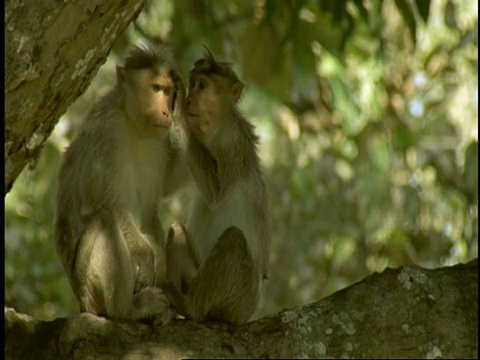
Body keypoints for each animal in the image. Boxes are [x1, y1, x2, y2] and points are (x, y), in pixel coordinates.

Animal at [52, 43, 188, 324]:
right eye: (155, 88)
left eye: (168, 91)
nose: (166, 111)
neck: (133, 123)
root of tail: (80, 302)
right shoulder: (109, 133)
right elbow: (111, 202)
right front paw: (147, 259)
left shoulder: (158, 140)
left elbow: (164, 188)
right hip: (88, 291)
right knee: (105, 220)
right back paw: (130, 309)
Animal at [165, 46, 270, 324]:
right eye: (193, 83)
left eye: (202, 86)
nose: (190, 98)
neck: (213, 128)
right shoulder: (194, 143)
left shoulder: (232, 141)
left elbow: (215, 192)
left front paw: (177, 109)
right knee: (177, 229)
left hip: (239, 298)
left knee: (234, 238)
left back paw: (189, 306)